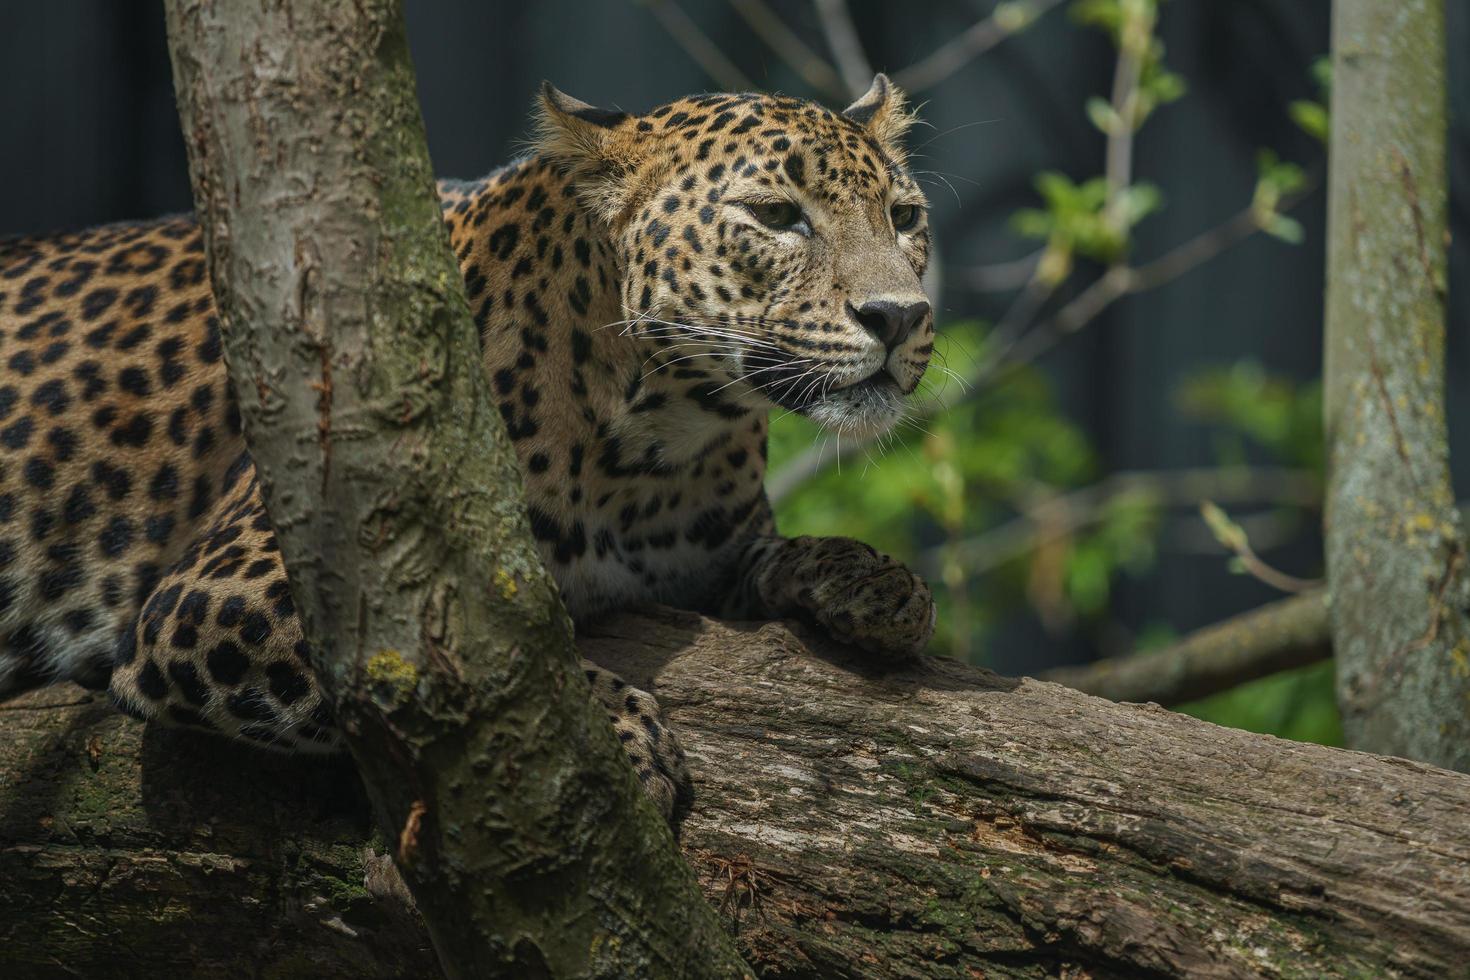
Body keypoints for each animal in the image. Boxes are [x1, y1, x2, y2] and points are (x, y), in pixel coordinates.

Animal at [0, 74, 934, 828]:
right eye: (777, 217)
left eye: (905, 217)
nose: (900, 316)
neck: (657, 448)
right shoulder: (226, 591)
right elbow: (488, 675)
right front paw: (617, 738)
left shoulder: (705, 555)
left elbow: (772, 556)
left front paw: (877, 582)